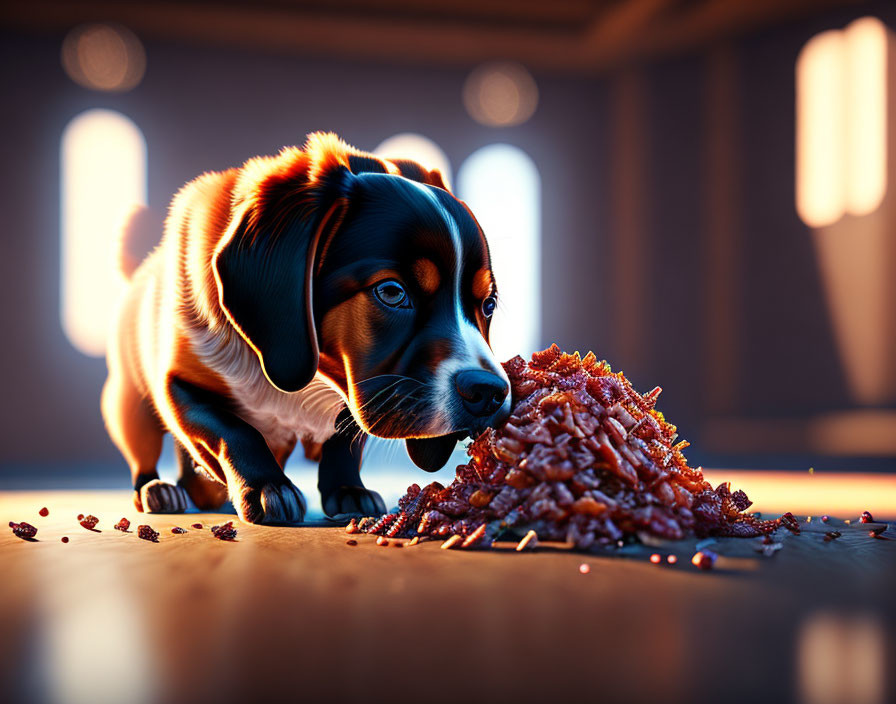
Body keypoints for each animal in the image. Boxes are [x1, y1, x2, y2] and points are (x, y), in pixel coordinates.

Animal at [101, 132, 512, 524]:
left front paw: (347, 490)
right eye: (392, 292)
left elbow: (345, 438)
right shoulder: (178, 385)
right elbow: (233, 431)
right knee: (144, 456)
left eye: (488, 305)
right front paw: (267, 487)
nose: (489, 392)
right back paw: (158, 490)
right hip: (129, 409)